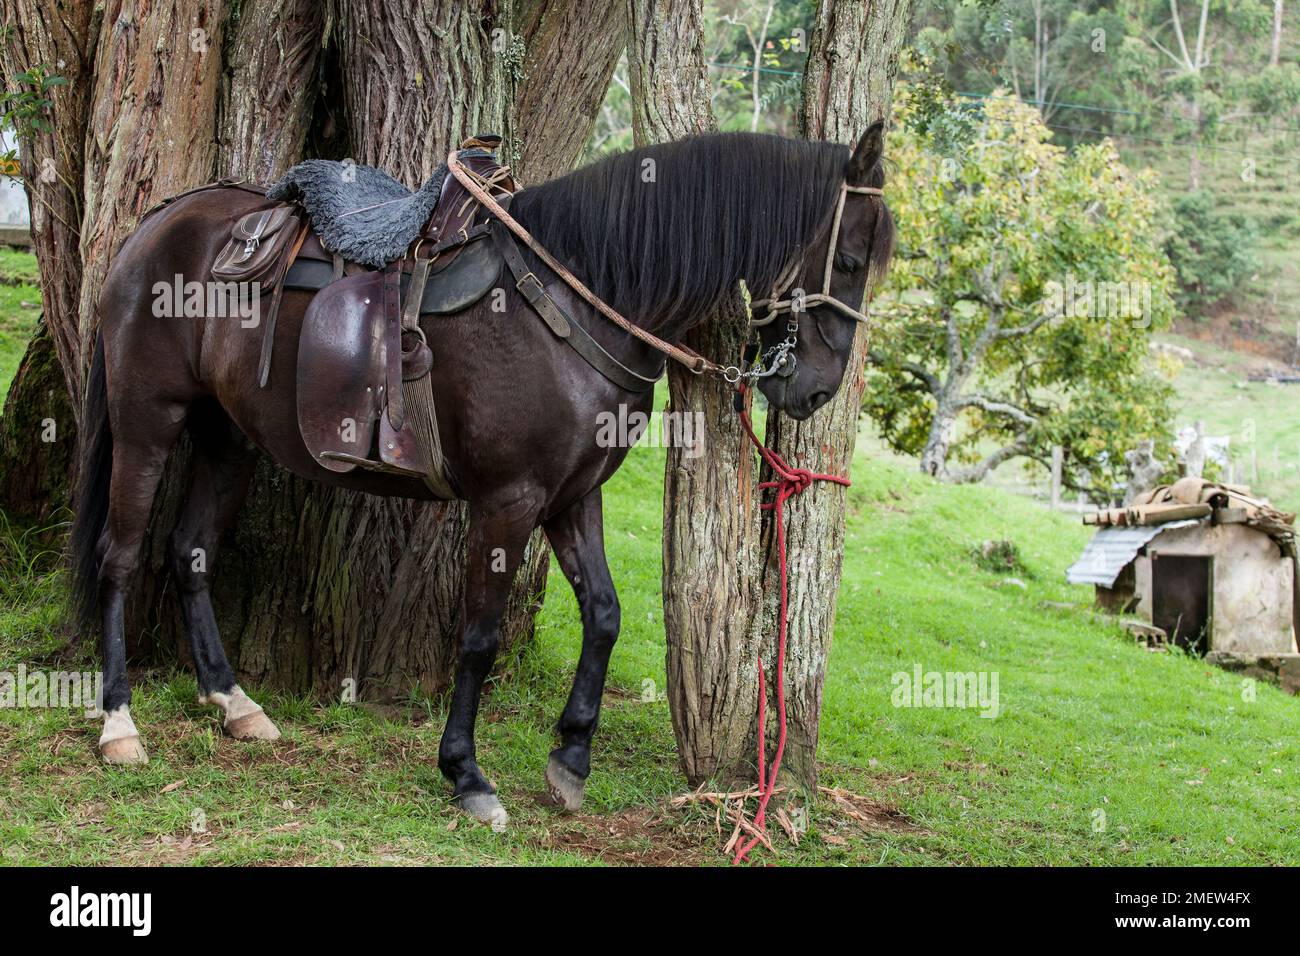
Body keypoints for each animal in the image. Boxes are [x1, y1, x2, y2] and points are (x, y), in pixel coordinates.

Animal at [68, 123, 895, 825]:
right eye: (850, 262)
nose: (816, 390)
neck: (573, 300)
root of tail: (156, 223)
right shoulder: (509, 501)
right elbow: (478, 636)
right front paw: (466, 774)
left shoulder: (574, 496)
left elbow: (604, 614)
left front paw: (570, 758)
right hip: (148, 422)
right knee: (119, 557)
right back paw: (119, 721)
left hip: (227, 438)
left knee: (190, 554)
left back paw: (233, 701)